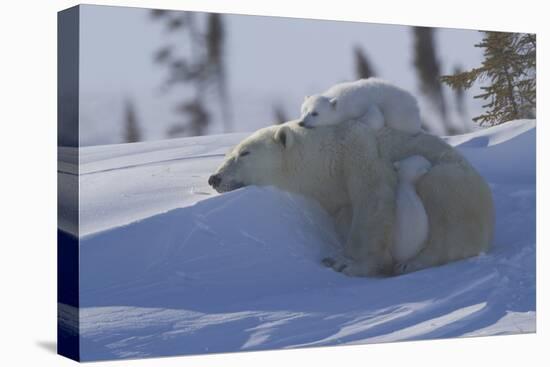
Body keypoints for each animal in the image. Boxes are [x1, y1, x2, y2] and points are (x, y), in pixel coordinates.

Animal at [210, 122, 496, 278]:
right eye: (229, 153)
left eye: (245, 153)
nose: (214, 178)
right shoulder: (334, 196)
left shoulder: (356, 148)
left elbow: (373, 196)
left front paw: (345, 262)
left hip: (454, 182)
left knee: (444, 209)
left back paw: (411, 263)